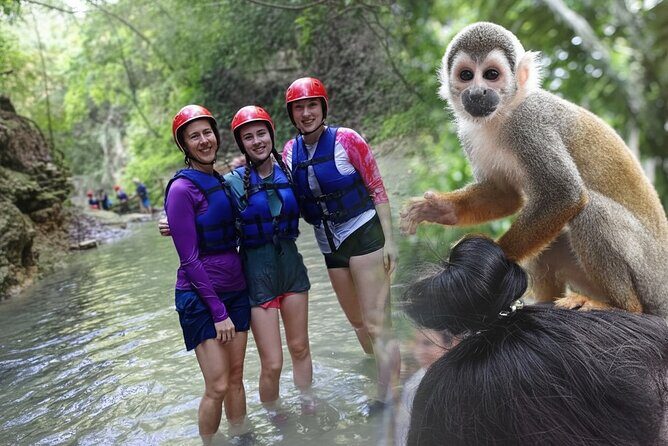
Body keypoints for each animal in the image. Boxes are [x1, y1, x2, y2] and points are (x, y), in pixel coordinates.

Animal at [400, 22, 668, 319]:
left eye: (491, 75)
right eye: (467, 75)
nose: (478, 92)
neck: (503, 115)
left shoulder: (530, 125)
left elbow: (565, 194)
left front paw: (489, 260)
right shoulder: (468, 135)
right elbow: (505, 195)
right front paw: (440, 209)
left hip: (648, 275)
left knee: (591, 211)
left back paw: (621, 306)